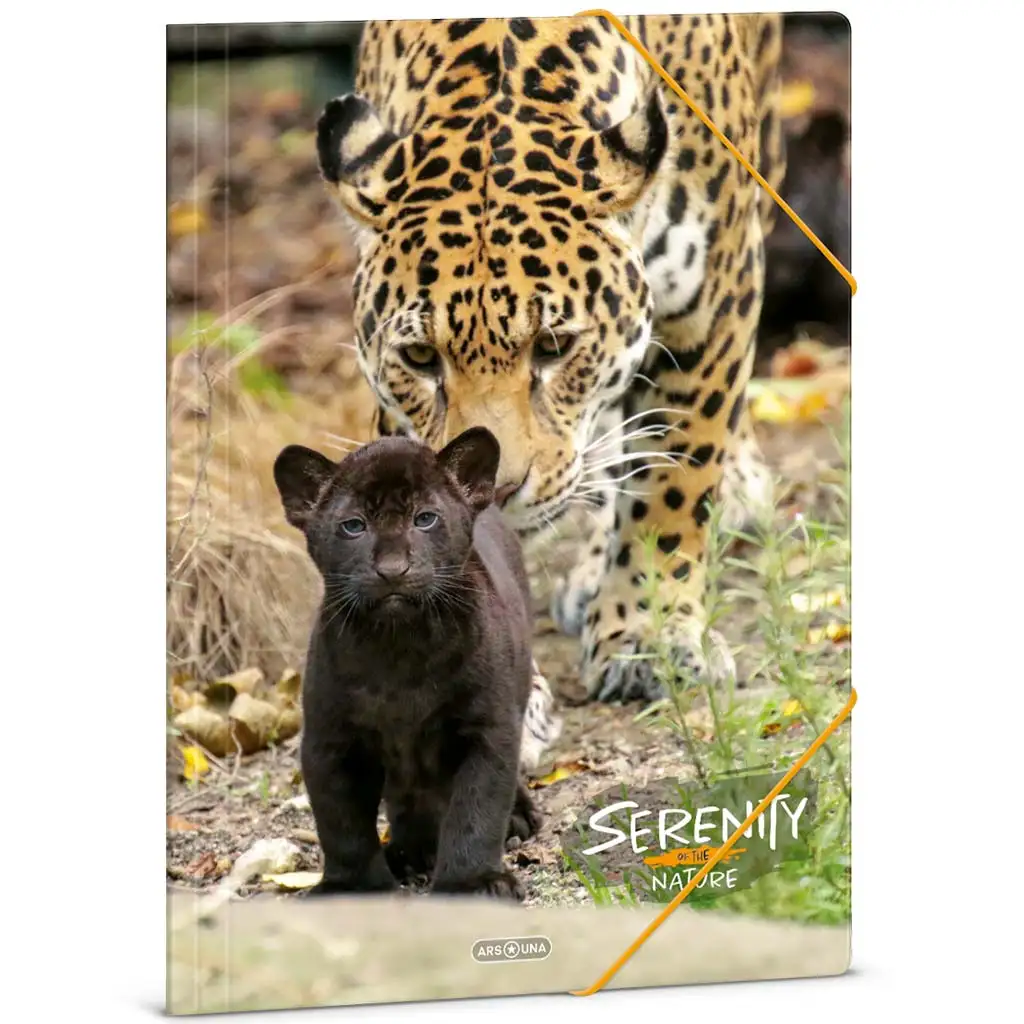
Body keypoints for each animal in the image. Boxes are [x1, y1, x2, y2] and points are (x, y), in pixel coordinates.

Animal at [313, 14, 786, 706]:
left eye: (554, 347)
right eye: (421, 356)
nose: (496, 487)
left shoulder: (714, 298)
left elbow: (675, 477)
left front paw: (649, 636)